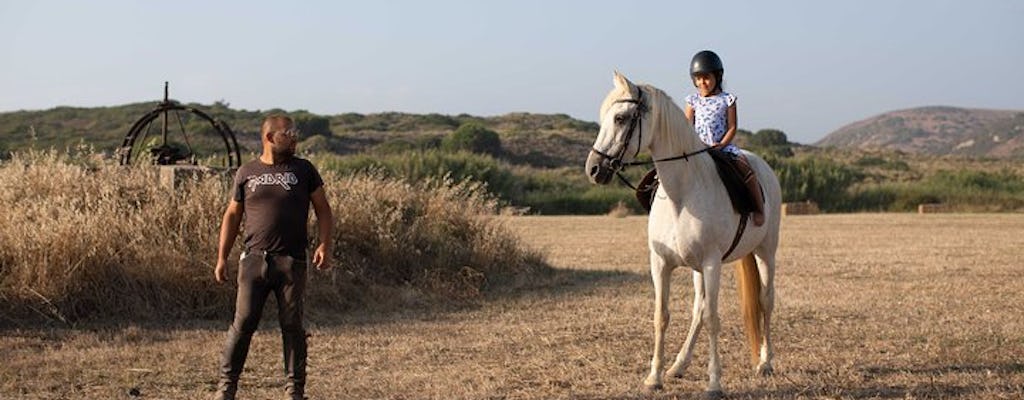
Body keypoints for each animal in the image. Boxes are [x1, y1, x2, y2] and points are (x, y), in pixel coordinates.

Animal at [585, 72, 782, 396]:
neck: (682, 194)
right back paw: (679, 365)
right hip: (697, 269)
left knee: (765, 301)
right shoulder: (661, 264)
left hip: (765, 252)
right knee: (698, 310)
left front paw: (714, 382)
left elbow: (714, 318)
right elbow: (662, 316)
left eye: (621, 118)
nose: (593, 169)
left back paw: (765, 362)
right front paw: (655, 377)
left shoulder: (712, 263)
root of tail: (762, 165)